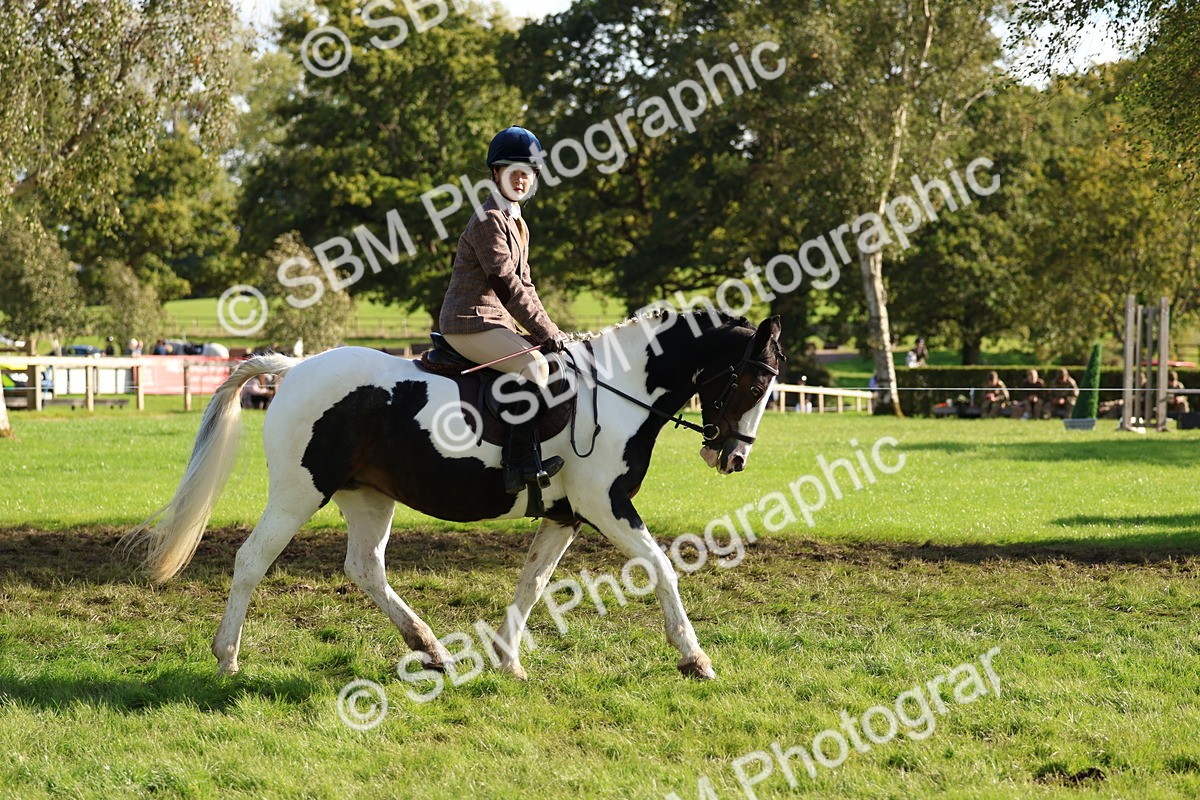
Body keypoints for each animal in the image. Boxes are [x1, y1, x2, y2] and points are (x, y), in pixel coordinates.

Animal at [129, 309, 784, 682]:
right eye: (754, 383)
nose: (734, 457)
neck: (619, 390)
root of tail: (293, 368)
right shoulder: (607, 506)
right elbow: (661, 568)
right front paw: (693, 658)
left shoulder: (567, 515)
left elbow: (532, 583)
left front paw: (509, 661)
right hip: (297, 493)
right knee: (251, 561)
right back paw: (227, 658)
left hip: (368, 497)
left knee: (364, 568)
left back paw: (431, 649)